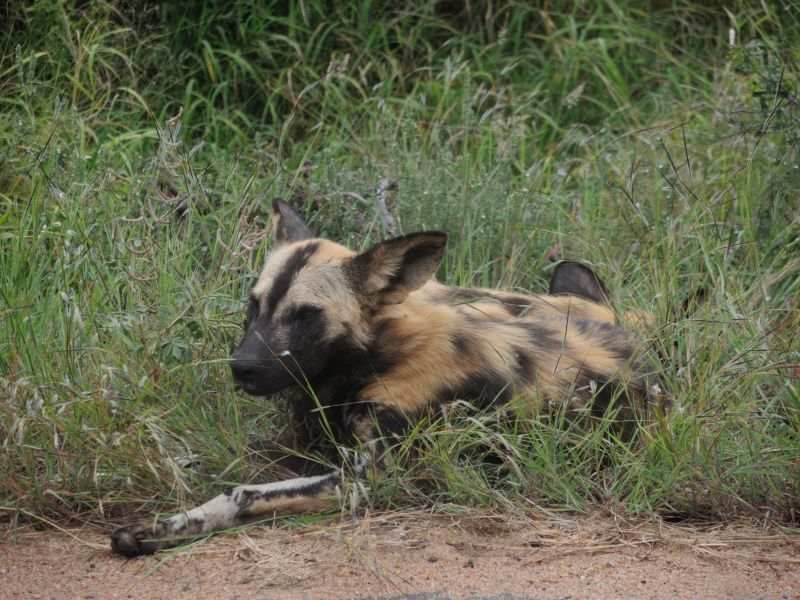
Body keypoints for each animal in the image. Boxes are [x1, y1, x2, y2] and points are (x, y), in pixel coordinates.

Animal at [110, 198, 663, 556]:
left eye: (305, 315)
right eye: (253, 305)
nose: (242, 366)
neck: (379, 355)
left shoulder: (369, 474)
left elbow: (242, 491)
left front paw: (166, 528)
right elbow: (196, 459)